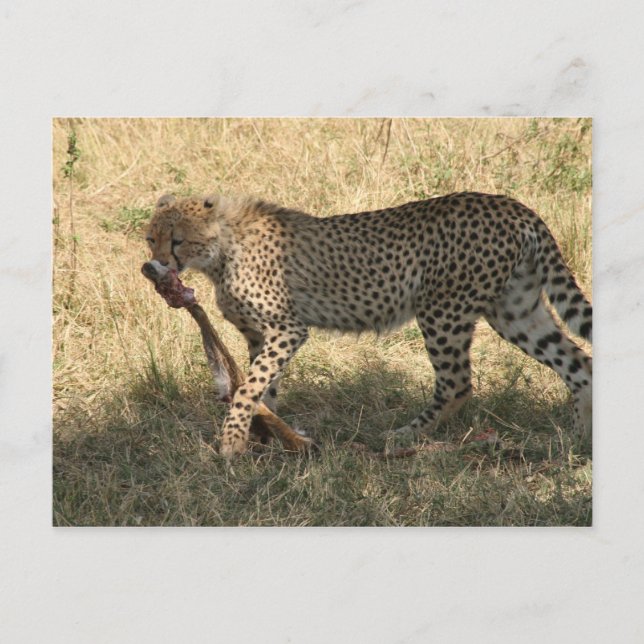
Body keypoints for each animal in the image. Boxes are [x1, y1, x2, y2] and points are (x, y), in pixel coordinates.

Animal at [145, 192, 592, 459]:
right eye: (152, 238)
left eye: (178, 239)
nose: (156, 265)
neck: (221, 250)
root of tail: (511, 204)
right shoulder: (259, 336)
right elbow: (262, 388)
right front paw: (272, 436)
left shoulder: (288, 330)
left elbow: (247, 388)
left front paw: (233, 441)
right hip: (515, 311)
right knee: (578, 363)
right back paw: (577, 440)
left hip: (442, 311)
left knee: (457, 383)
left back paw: (405, 435)